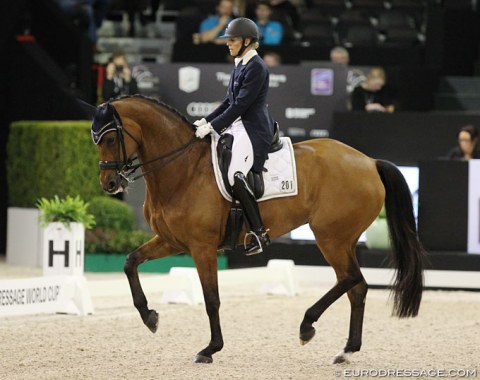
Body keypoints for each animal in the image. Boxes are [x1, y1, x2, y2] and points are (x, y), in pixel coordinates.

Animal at [90, 93, 424, 364]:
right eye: (96, 140)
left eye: (109, 139)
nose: (109, 184)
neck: (183, 169)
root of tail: (370, 162)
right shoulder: (171, 241)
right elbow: (130, 262)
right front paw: (150, 317)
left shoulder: (202, 246)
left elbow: (211, 299)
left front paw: (210, 349)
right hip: (343, 239)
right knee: (357, 288)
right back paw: (346, 350)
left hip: (330, 237)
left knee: (351, 279)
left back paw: (307, 326)